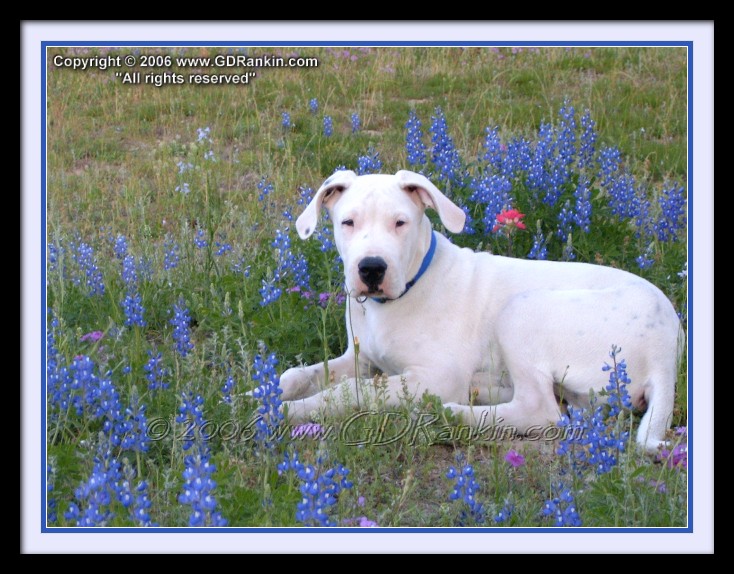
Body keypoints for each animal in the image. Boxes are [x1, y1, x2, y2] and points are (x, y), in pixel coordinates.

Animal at [282, 171, 684, 454]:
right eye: (348, 222)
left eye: (400, 223)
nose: (371, 269)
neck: (403, 291)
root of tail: (667, 351)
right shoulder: (361, 358)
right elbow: (296, 375)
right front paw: (272, 391)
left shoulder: (435, 375)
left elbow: (350, 391)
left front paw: (291, 411)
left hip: (521, 310)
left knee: (541, 410)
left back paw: (450, 411)